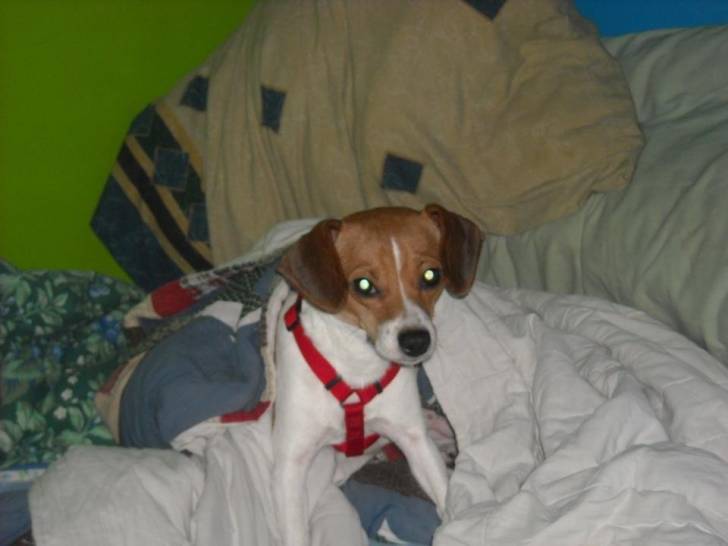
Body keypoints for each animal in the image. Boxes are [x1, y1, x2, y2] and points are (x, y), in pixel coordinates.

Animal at [271, 204, 483, 545]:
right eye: (364, 285)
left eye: (431, 275)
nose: (416, 341)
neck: (357, 366)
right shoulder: (291, 462)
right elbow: (295, 533)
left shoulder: (415, 441)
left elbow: (445, 496)